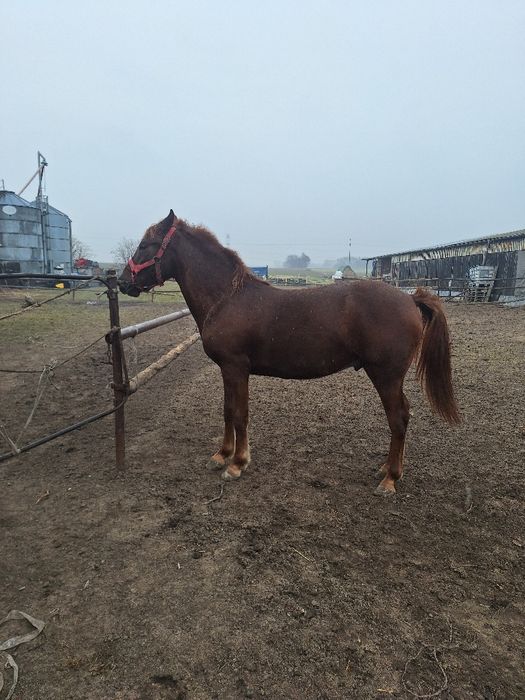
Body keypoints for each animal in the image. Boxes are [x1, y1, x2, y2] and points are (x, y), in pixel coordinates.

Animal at [118, 211, 460, 496]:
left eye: (147, 245)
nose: (122, 282)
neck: (227, 298)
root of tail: (410, 299)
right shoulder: (226, 370)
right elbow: (227, 410)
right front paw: (221, 455)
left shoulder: (236, 367)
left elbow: (240, 414)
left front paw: (237, 463)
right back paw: (387, 468)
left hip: (386, 375)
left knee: (398, 418)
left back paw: (389, 479)